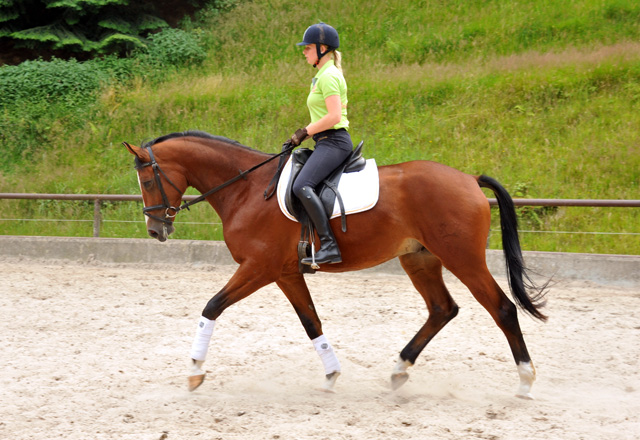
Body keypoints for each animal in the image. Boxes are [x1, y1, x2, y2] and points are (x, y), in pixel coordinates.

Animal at [122, 130, 548, 398]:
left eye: (148, 181)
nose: (155, 230)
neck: (245, 189)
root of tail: (470, 179)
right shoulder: (285, 273)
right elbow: (311, 322)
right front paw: (330, 375)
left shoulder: (258, 269)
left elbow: (211, 307)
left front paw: (194, 372)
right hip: (419, 258)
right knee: (442, 309)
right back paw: (399, 370)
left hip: (462, 257)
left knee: (502, 308)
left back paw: (526, 381)